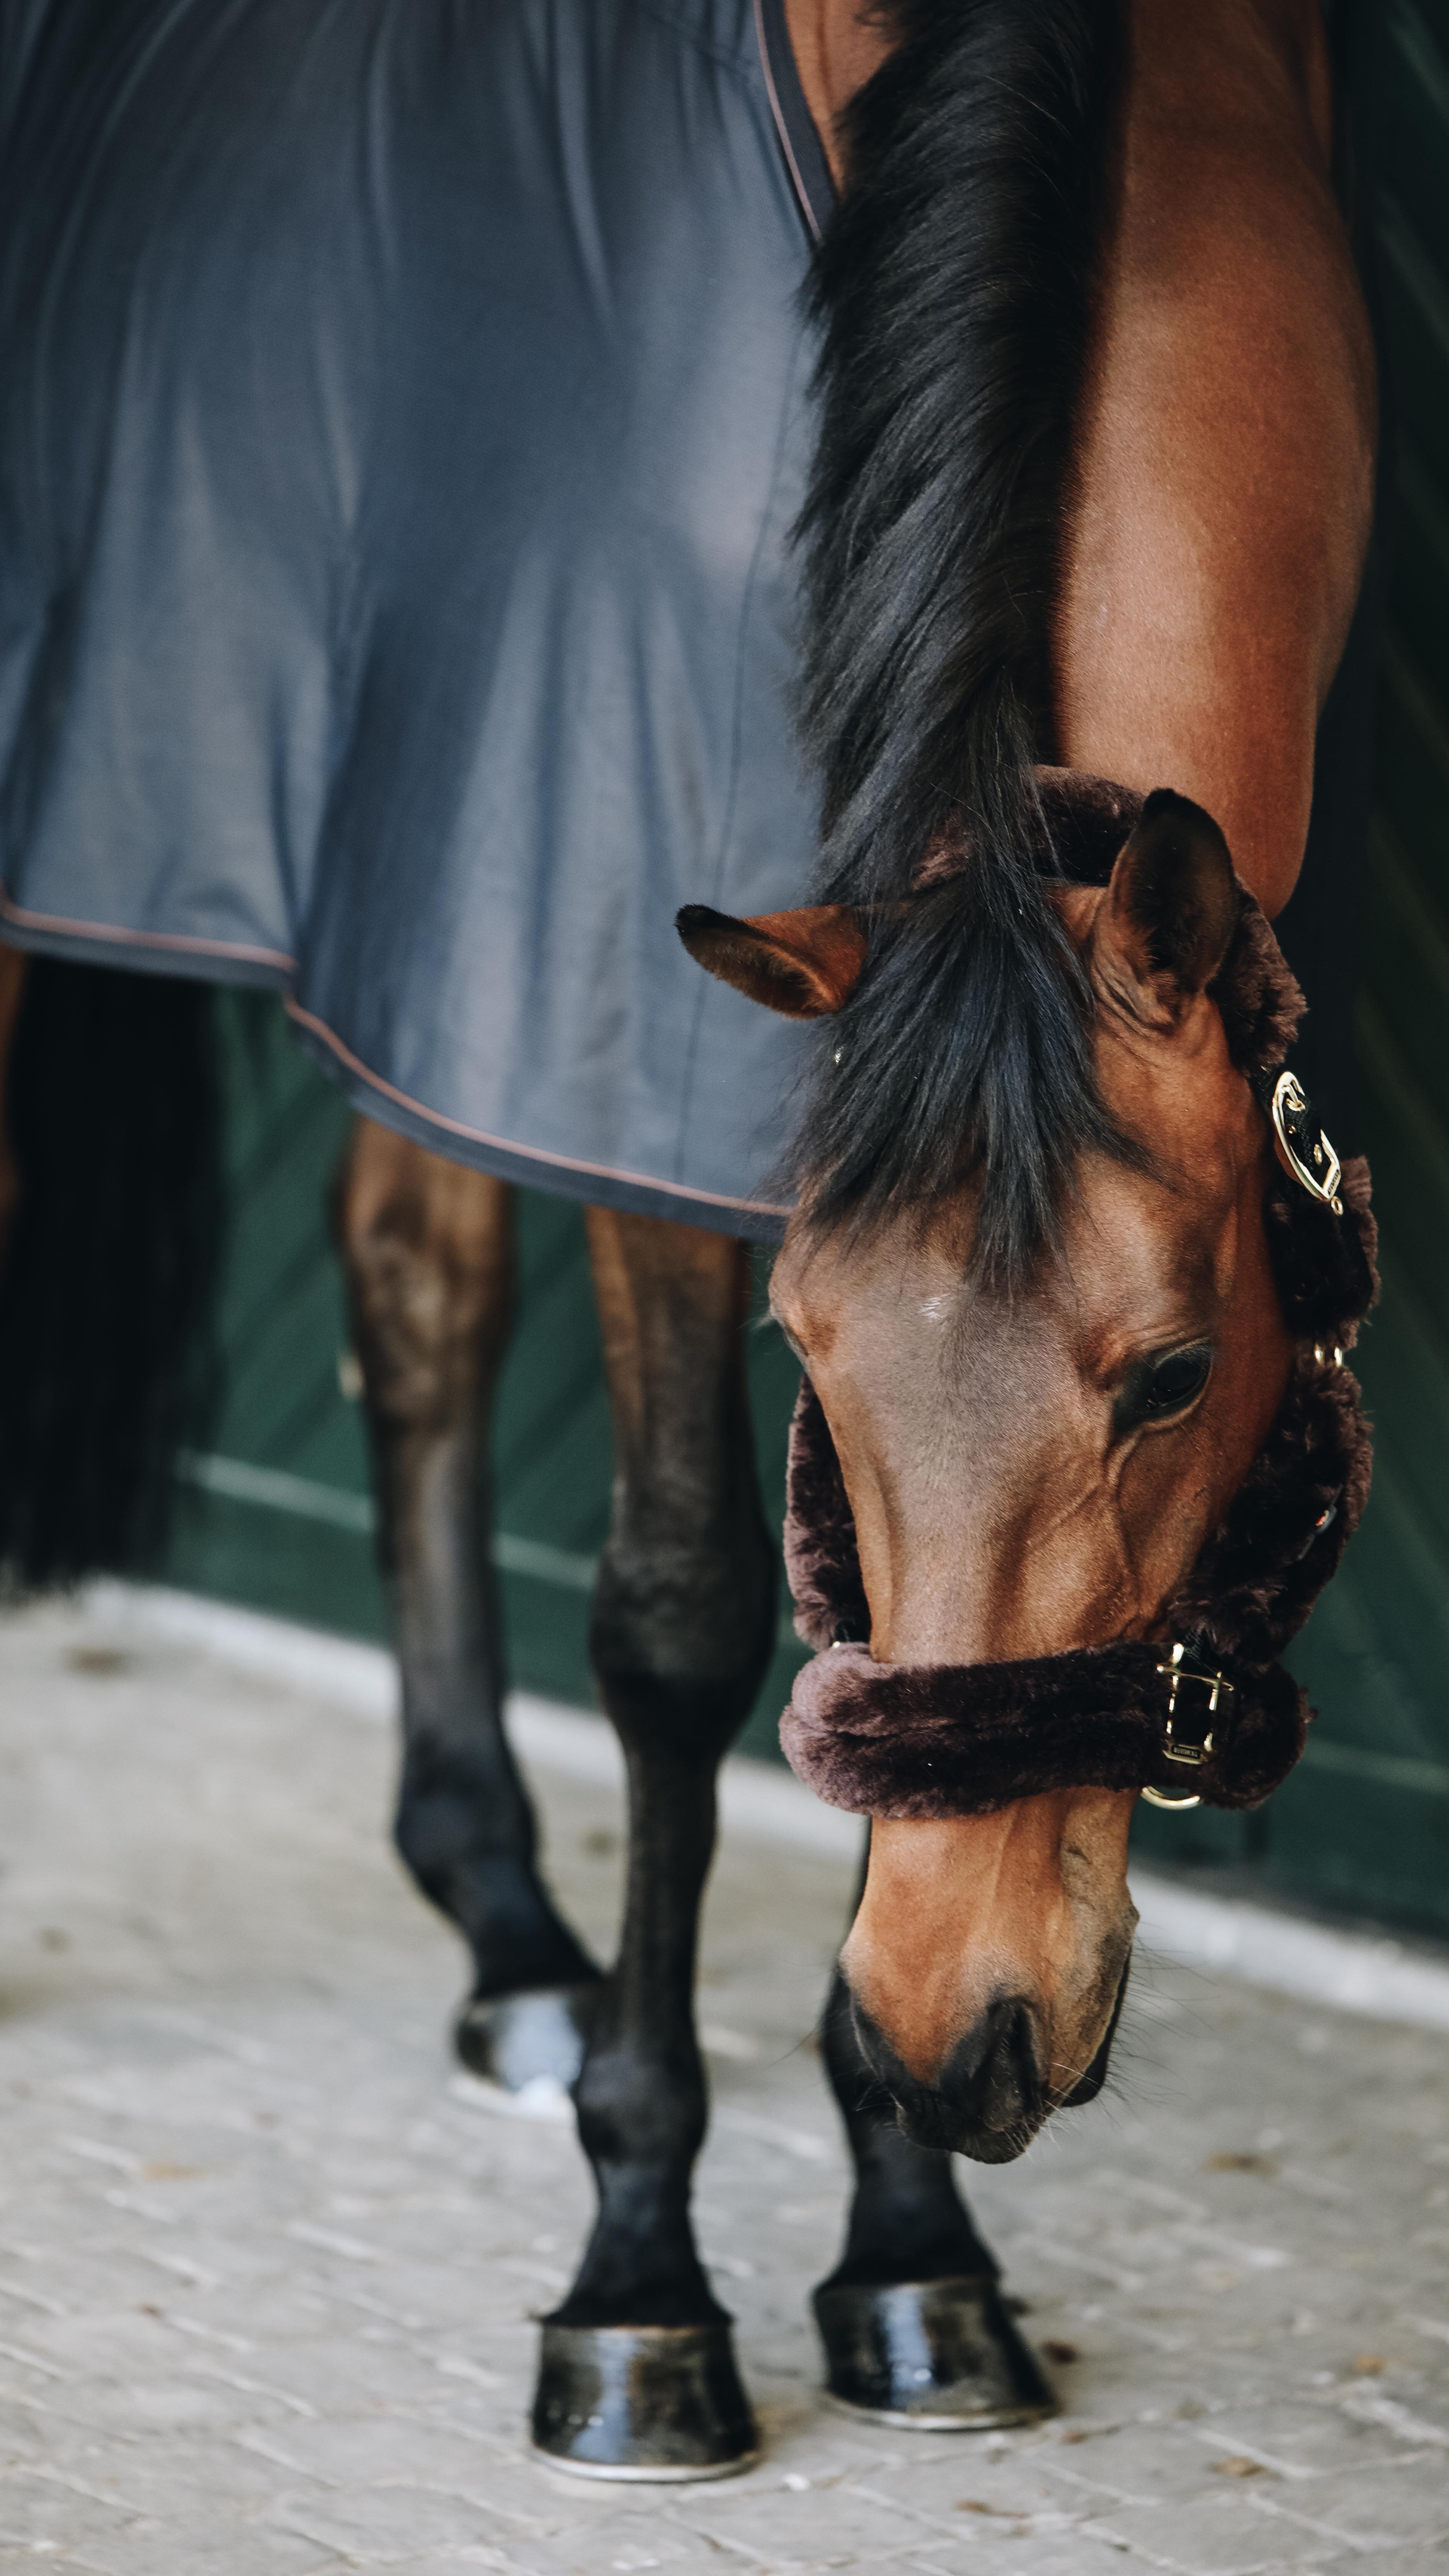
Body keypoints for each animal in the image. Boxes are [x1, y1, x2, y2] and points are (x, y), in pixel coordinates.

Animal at [0, 0, 1376, 2482]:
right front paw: (641, 2282)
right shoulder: (614, 1042)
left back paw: (510, 1937)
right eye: (808, 1354)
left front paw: (914, 2250)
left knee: (417, 1292)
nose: (956, 2023)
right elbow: (681, 1625)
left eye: (1168, 1377)